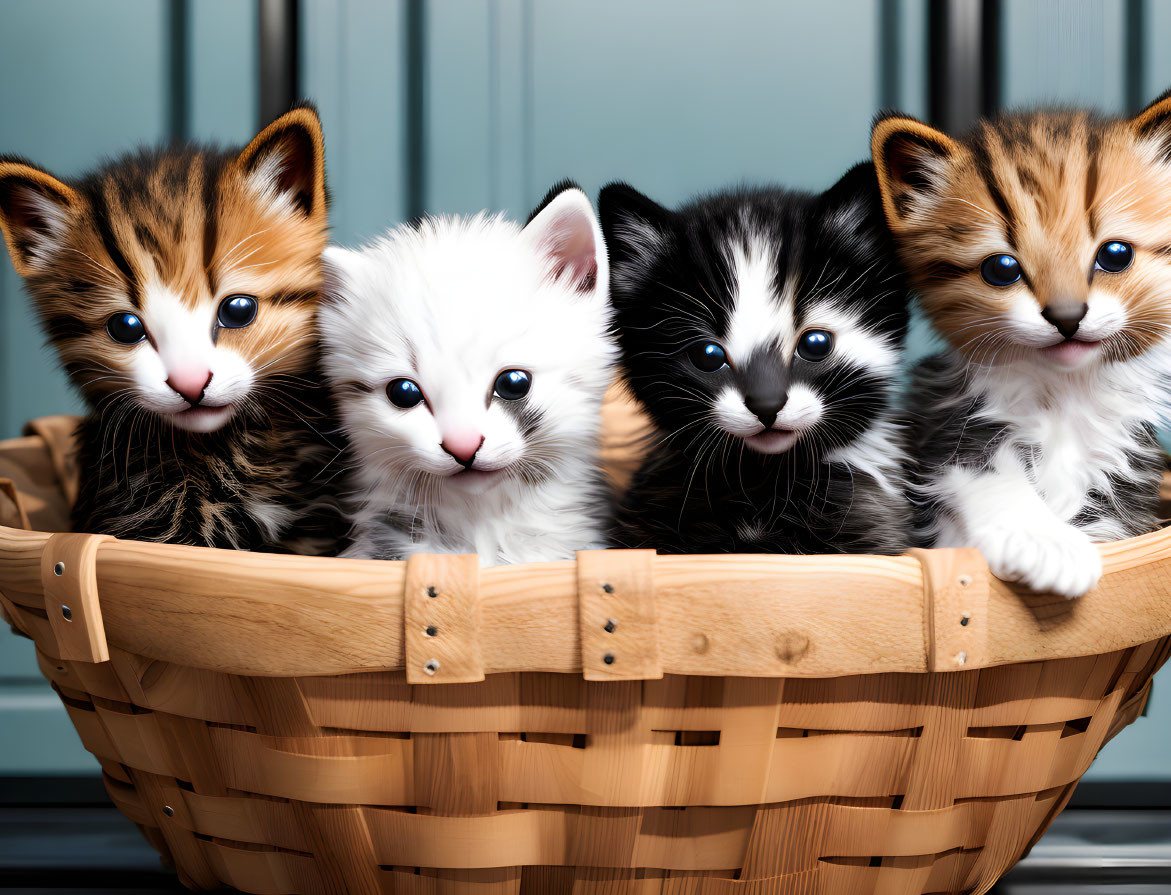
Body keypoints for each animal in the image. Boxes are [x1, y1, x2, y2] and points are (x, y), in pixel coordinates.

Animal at [871, 90, 1171, 597]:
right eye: (1002, 269)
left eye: (1115, 255)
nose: (1067, 318)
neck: (1064, 393)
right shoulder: (943, 430)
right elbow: (984, 471)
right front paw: (1051, 544)